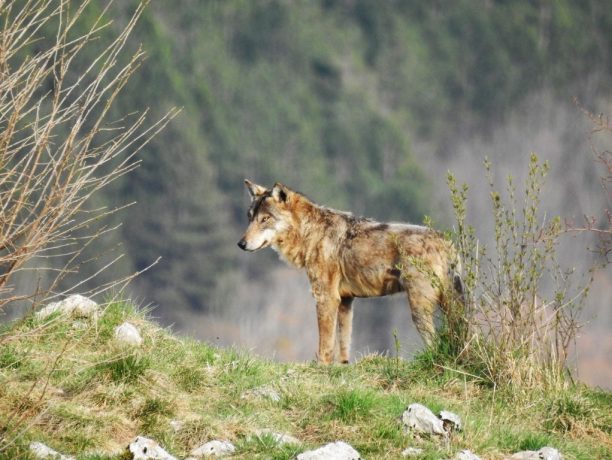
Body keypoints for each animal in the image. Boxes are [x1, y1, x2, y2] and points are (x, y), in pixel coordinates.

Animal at [237, 180, 462, 362]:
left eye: (265, 219)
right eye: (250, 218)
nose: (241, 244)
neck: (311, 233)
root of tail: (445, 242)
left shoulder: (326, 298)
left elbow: (325, 346)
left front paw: (322, 370)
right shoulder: (346, 301)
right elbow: (343, 348)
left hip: (419, 310)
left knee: (434, 344)